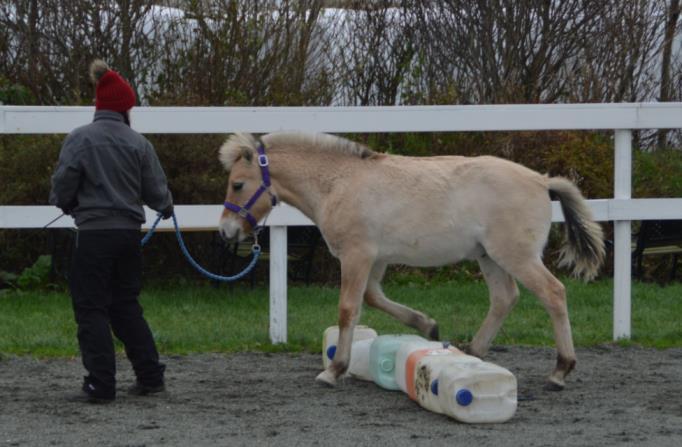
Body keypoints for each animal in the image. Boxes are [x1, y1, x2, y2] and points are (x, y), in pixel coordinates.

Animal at [216, 132, 600, 392]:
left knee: (553, 293)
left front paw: (334, 370)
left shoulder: (356, 256)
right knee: (505, 298)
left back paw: (560, 370)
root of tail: (542, 180)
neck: (339, 183)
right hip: (490, 257)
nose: (225, 231)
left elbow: (348, 310)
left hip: (515, 256)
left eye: (238, 184)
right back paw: (474, 352)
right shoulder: (376, 259)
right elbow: (373, 299)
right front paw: (428, 327)